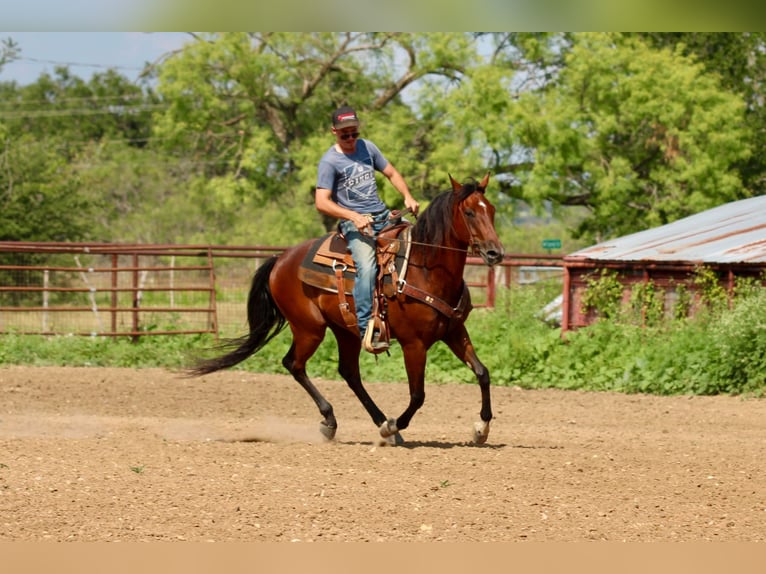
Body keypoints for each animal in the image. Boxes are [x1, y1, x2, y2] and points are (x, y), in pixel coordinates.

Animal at [187, 173, 505, 445]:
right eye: (469, 213)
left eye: (491, 210)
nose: (495, 252)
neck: (424, 269)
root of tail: (281, 259)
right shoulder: (413, 344)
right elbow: (418, 395)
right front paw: (393, 426)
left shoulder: (454, 330)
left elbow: (483, 373)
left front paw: (481, 429)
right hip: (309, 329)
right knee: (294, 364)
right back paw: (334, 422)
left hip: (345, 330)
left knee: (349, 372)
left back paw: (377, 422)